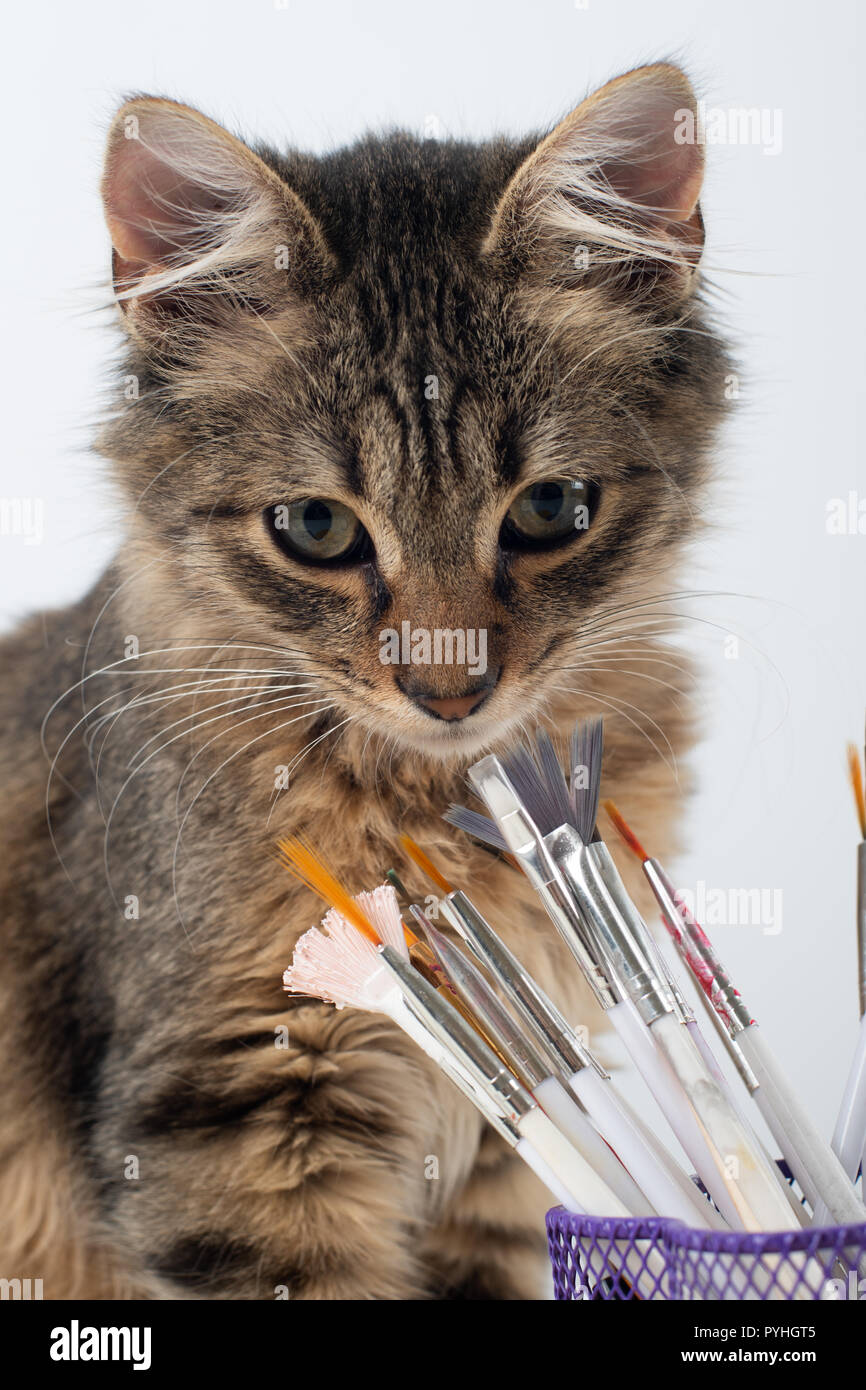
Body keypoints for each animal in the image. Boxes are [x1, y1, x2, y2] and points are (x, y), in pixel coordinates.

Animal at [0, 62, 733, 1301]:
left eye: (550, 509)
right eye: (315, 529)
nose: (450, 695)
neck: (434, 813)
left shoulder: (514, 1139)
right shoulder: (231, 1115)